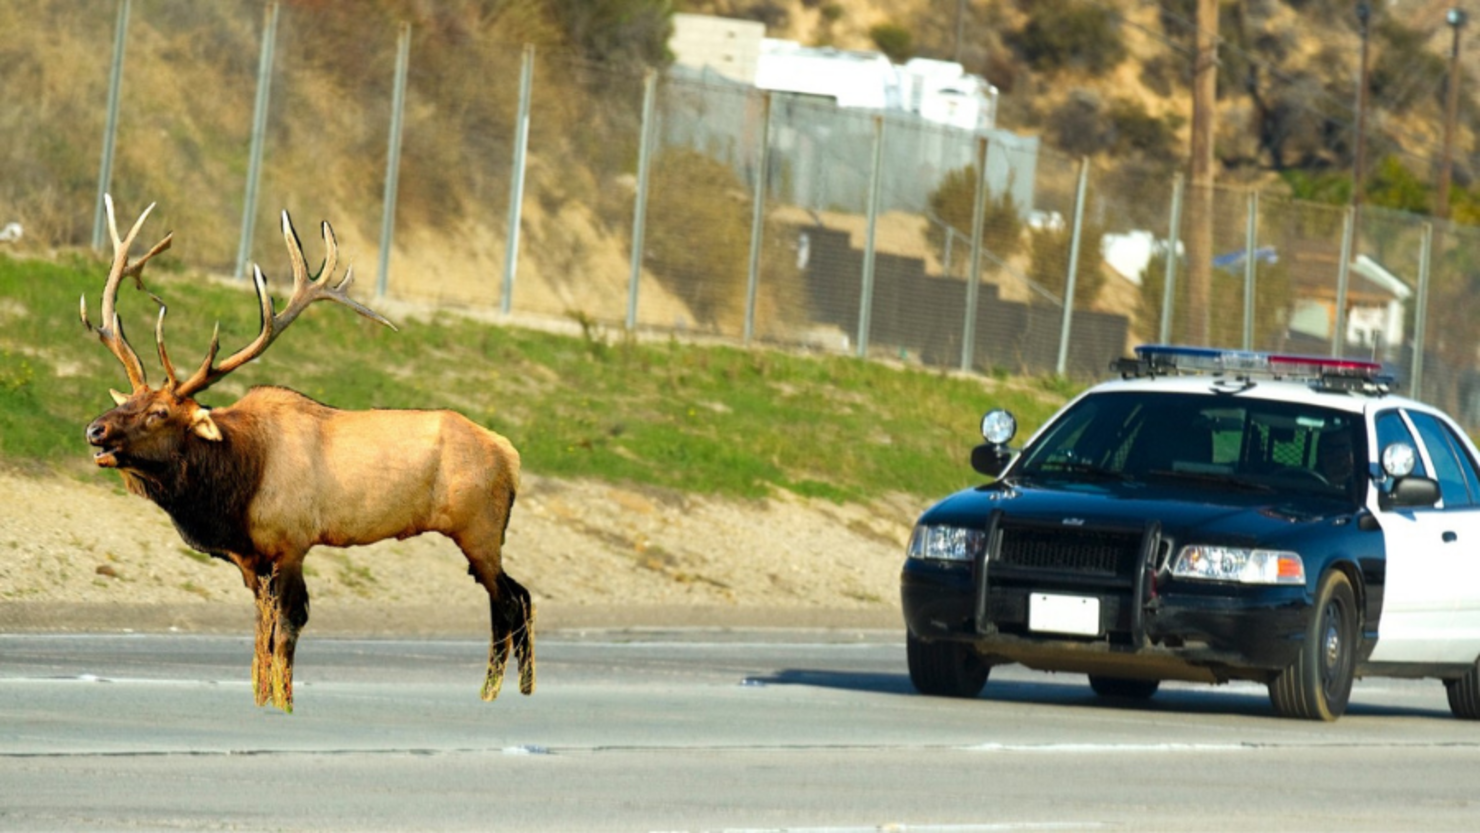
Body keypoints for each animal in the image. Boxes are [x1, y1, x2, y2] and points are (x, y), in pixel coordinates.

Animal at [81, 195, 532, 710]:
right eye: (127, 401)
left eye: (158, 412)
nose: (94, 430)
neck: (232, 491)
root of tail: (510, 453)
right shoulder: (250, 559)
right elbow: (260, 636)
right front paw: (262, 699)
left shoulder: (292, 541)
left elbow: (287, 631)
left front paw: (285, 702)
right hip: (485, 536)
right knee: (522, 597)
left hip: (479, 529)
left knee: (507, 605)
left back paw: (491, 693)